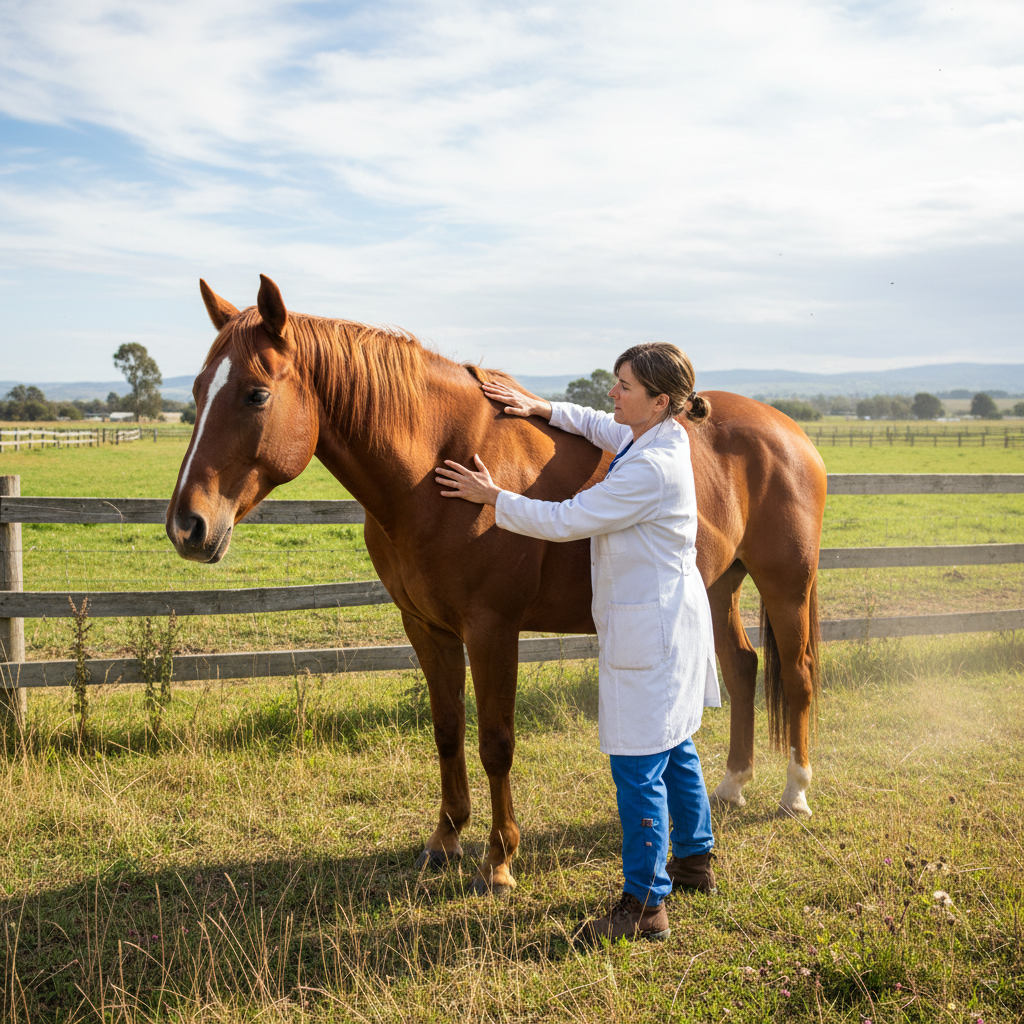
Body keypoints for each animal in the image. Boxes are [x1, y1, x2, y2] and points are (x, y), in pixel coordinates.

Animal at [167, 275, 827, 895]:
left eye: (256, 394)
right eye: (196, 392)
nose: (186, 526)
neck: (434, 466)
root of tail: (790, 432)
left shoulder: (491, 629)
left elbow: (495, 741)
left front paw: (500, 859)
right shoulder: (426, 628)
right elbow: (447, 730)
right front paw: (445, 839)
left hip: (786, 585)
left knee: (796, 676)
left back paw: (794, 792)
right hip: (719, 587)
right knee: (742, 668)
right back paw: (733, 785)